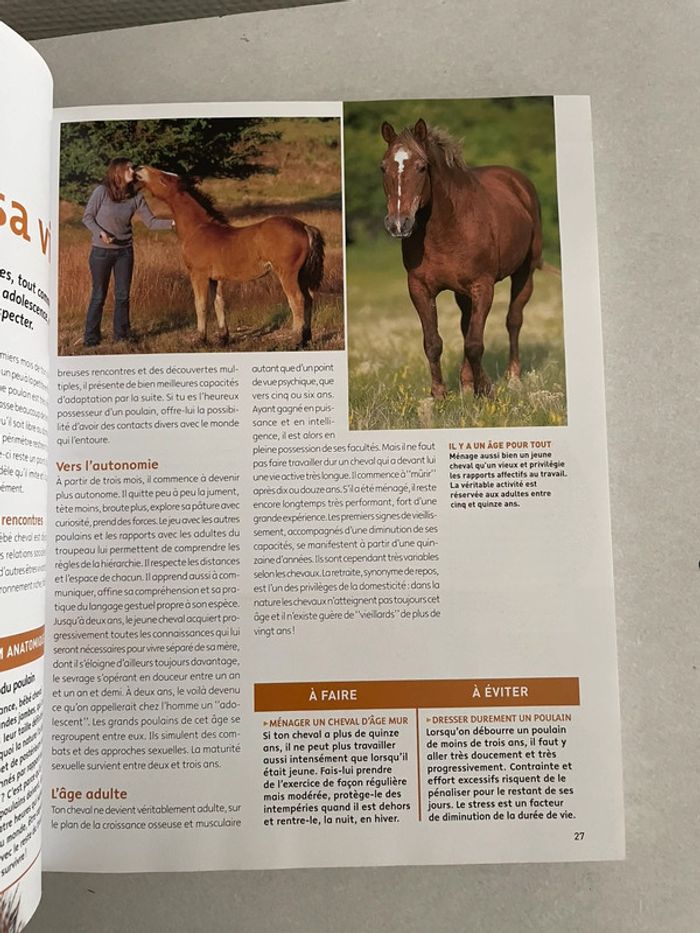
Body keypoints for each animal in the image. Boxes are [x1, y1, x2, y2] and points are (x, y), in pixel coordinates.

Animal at [135, 166, 324, 346]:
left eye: (163, 178)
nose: (140, 169)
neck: (198, 229)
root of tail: (304, 227)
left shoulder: (198, 274)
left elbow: (200, 304)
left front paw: (200, 339)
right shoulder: (215, 278)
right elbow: (219, 303)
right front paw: (223, 338)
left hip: (287, 274)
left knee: (297, 300)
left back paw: (295, 340)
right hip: (302, 275)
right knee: (309, 299)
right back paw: (306, 338)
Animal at [380, 119, 543, 398]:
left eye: (421, 167)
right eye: (383, 167)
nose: (399, 224)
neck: (448, 226)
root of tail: (518, 182)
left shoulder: (483, 286)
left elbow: (475, 343)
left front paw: (485, 390)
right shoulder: (419, 288)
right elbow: (433, 342)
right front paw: (439, 394)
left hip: (524, 273)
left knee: (513, 320)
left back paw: (513, 378)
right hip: (462, 292)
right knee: (467, 323)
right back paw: (466, 383)